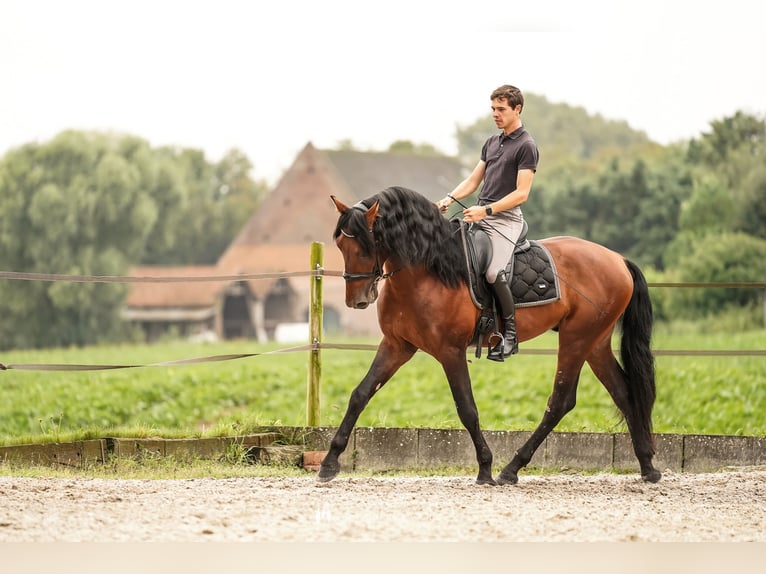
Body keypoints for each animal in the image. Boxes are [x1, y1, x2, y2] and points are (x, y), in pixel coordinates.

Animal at [320, 186, 664, 486]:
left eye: (366, 246)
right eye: (340, 246)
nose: (357, 300)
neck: (427, 270)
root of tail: (618, 259)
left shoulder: (450, 351)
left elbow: (467, 408)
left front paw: (485, 468)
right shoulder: (396, 346)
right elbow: (360, 394)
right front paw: (329, 462)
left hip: (577, 339)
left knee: (561, 401)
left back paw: (511, 469)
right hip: (595, 342)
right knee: (623, 392)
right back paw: (647, 466)